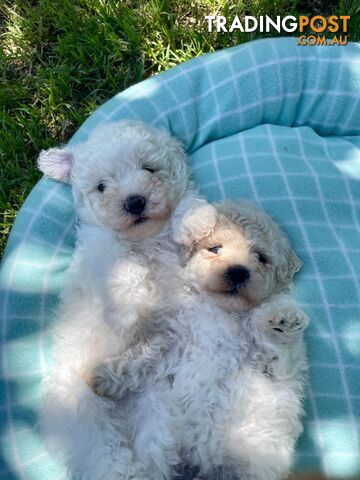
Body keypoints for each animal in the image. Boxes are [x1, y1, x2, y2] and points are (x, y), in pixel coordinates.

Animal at [37, 121, 191, 480]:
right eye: (102, 187)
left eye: (149, 169)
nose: (135, 202)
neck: (145, 240)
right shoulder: (101, 256)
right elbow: (124, 270)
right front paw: (129, 311)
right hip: (80, 410)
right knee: (106, 455)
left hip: (156, 400)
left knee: (155, 445)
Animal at [93, 198, 310, 480]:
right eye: (215, 248)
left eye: (262, 258)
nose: (238, 272)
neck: (222, 314)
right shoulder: (176, 336)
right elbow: (143, 356)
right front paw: (104, 378)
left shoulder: (276, 371)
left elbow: (280, 351)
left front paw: (281, 320)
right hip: (162, 438)